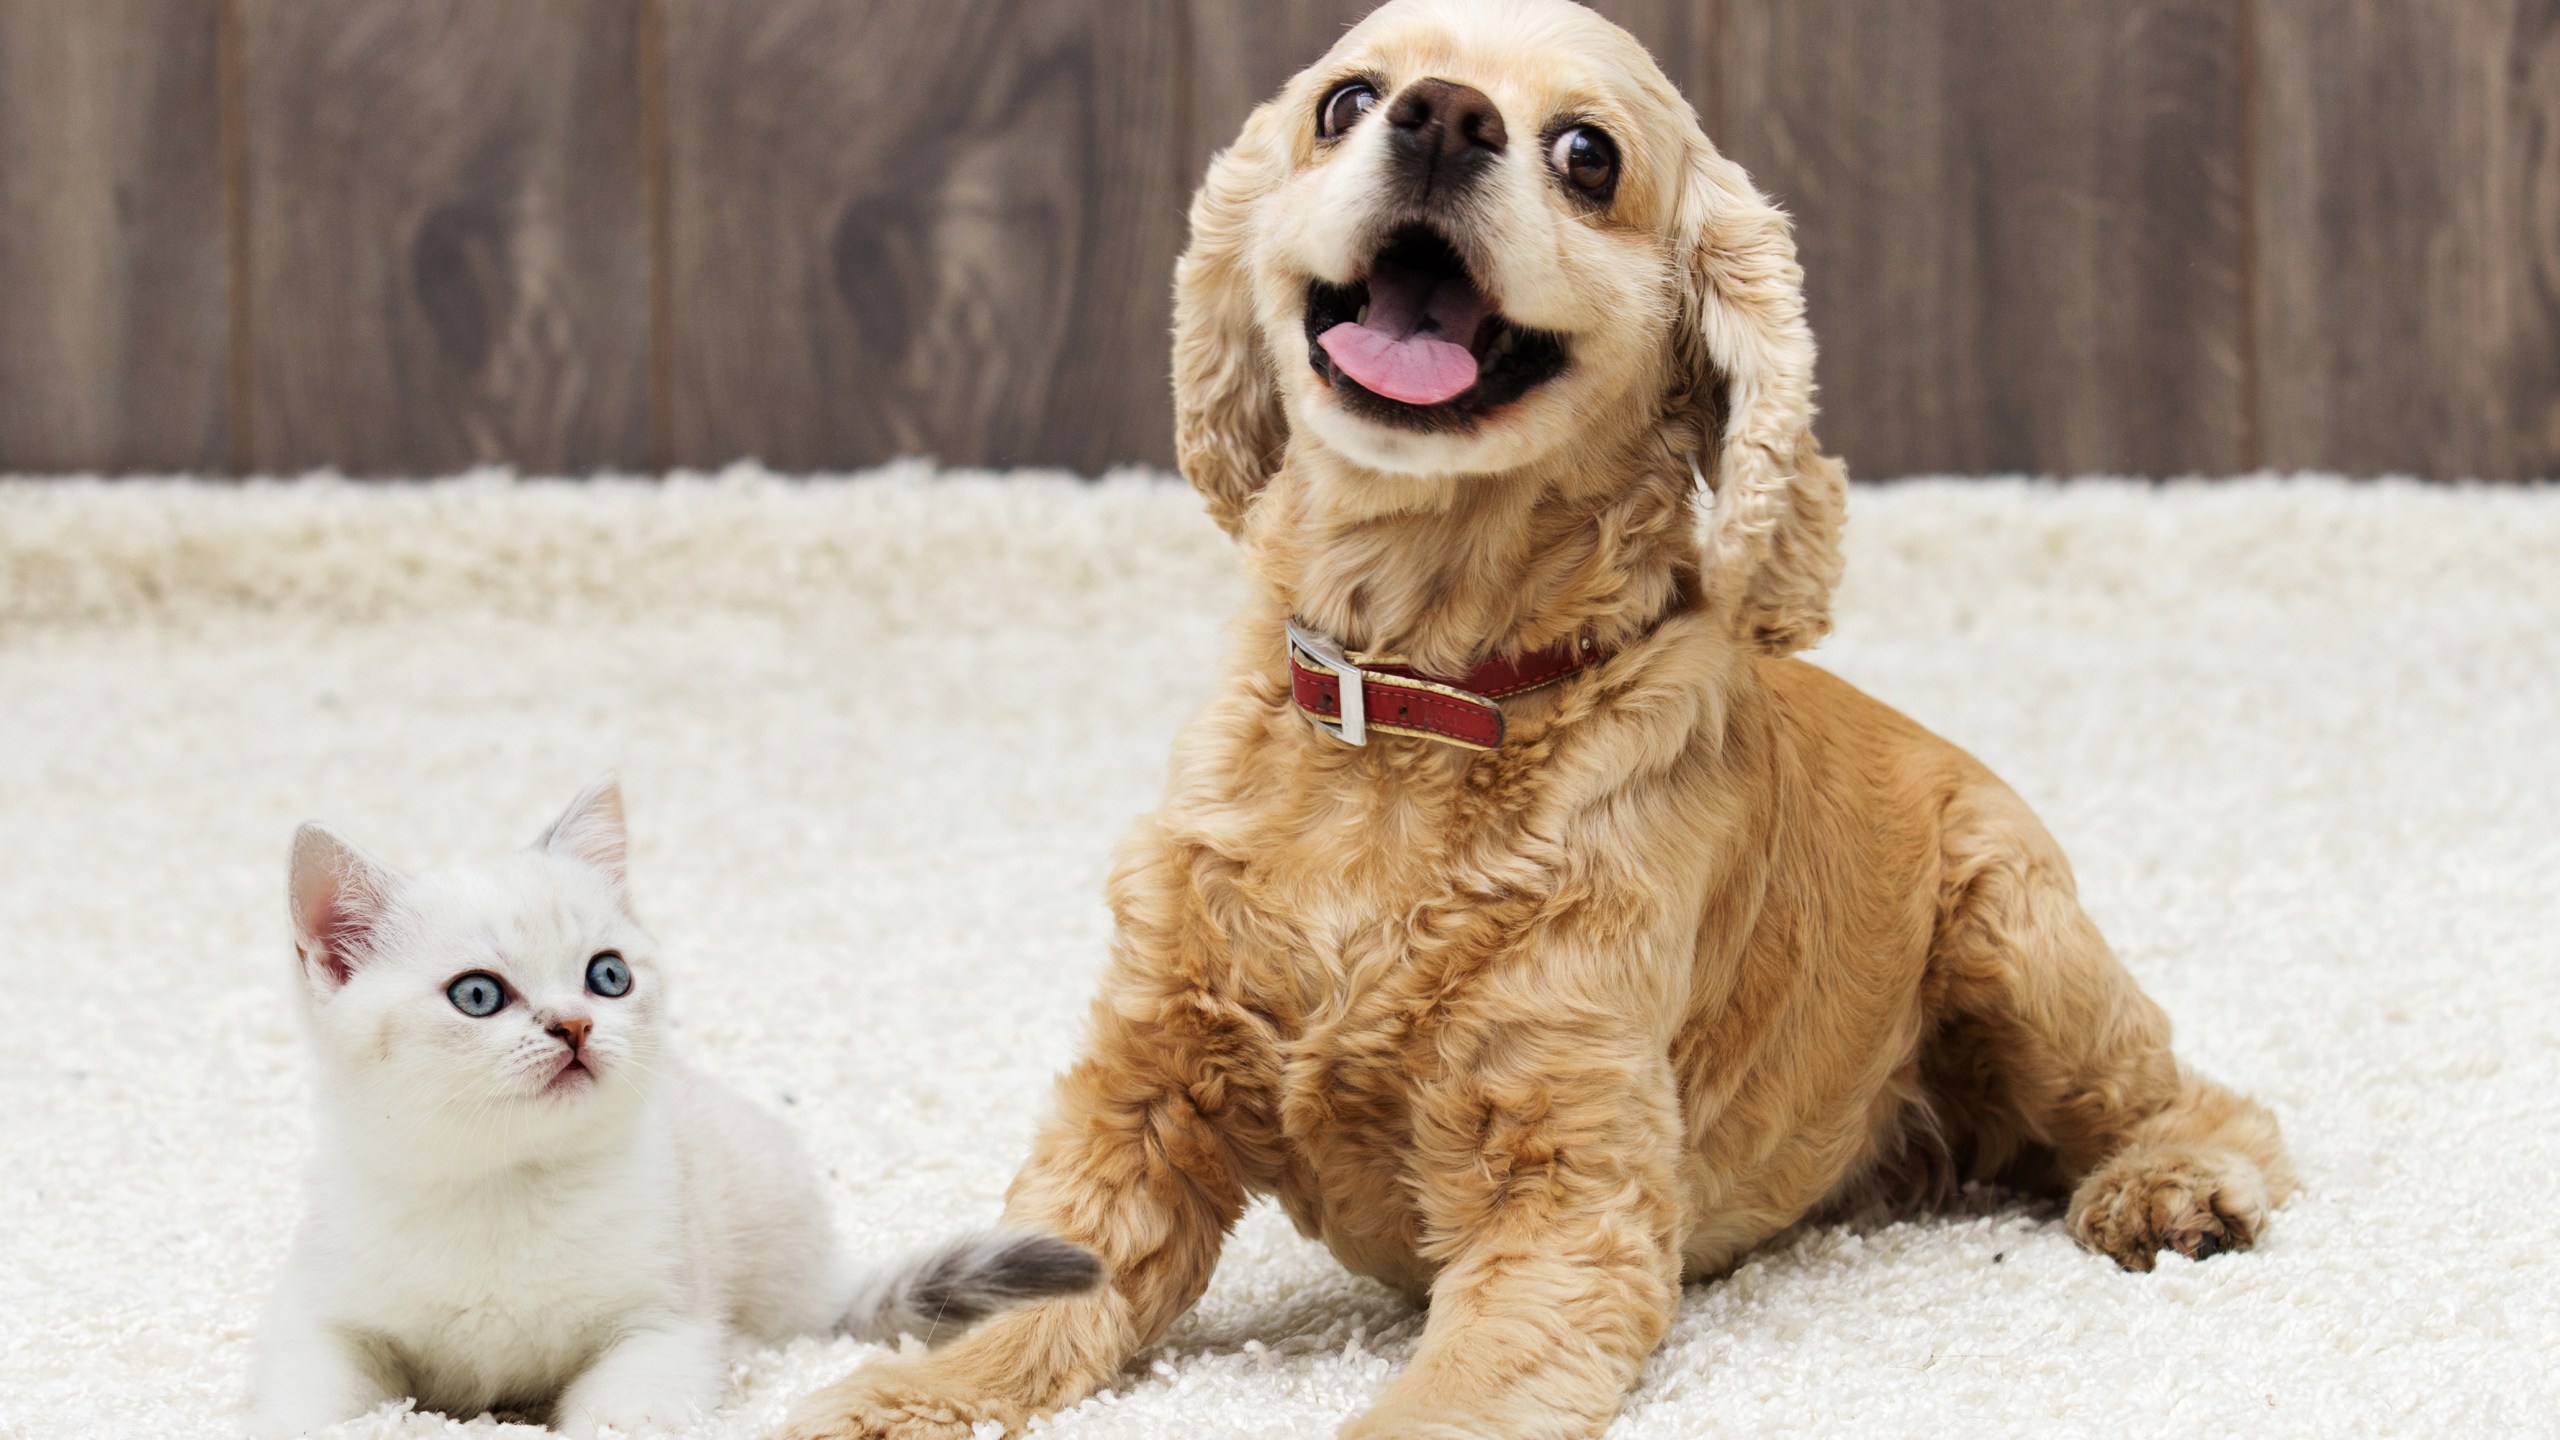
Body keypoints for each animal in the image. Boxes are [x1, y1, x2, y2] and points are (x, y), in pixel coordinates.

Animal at [249, 773, 1100, 1434]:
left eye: (608, 976)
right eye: (478, 995)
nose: (575, 1024)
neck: (505, 1185)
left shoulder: (666, 1316)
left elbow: (635, 1397)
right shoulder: (322, 1310)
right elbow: (309, 1396)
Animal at [788, 2, 2293, 1434]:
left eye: (1587, 154)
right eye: (1345, 99)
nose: (1441, 115)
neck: (1414, 704)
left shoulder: (1562, 1180)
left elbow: (1447, 1400)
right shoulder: (1141, 1100)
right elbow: (1020, 1305)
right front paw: (875, 1406)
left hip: (2016, 936)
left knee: (2194, 1097)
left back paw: (2175, 1190)